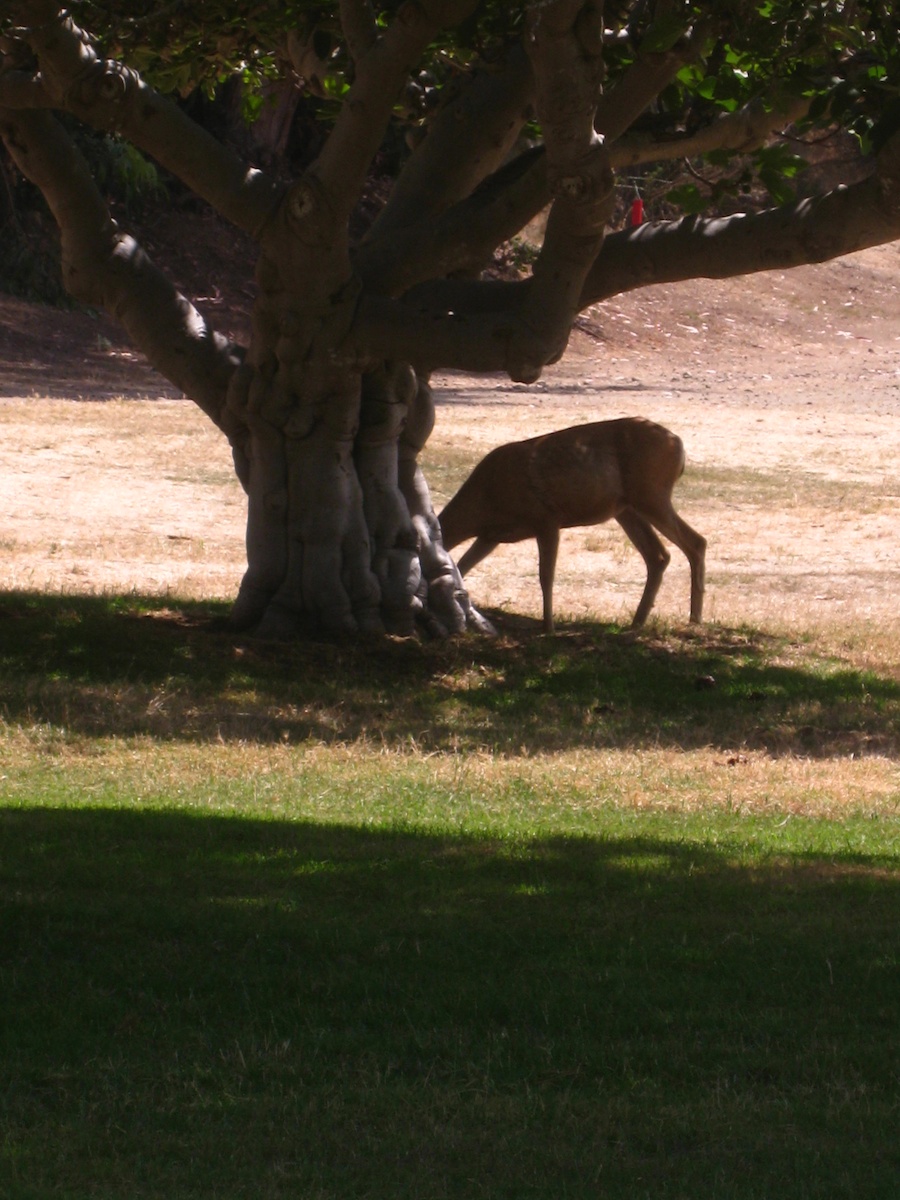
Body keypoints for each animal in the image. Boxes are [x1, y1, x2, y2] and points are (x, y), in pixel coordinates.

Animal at [441, 417, 710, 633]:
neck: (486, 499)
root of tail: (678, 444)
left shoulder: (546, 519)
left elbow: (546, 576)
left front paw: (548, 628)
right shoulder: (491, 536)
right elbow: (462, 567)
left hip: (651, 494)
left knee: (696, 542)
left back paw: (694, 618)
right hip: (627, 508)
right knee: (659, 556)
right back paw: (637, 622)